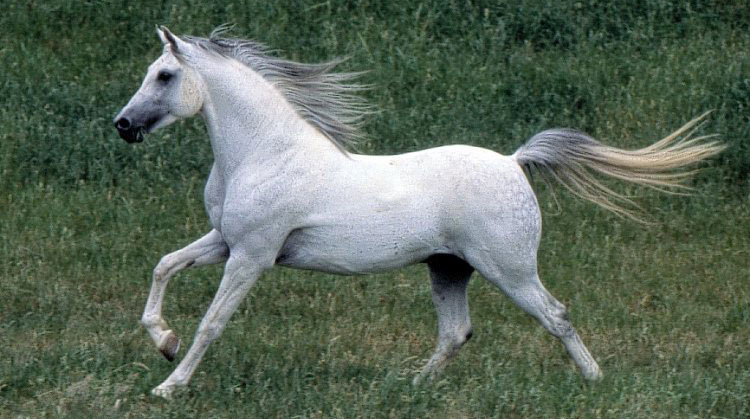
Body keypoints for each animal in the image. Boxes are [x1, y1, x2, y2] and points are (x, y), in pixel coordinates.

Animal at [113, 26, 724, 398]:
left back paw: (594, 380)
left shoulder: (252, 255)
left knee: (556, 314)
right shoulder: (225, 240)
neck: (264, 153)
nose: (123, 125)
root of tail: (515, 162)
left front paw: (170, 384)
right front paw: (163, 342)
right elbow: (164, 266)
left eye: (164, 75)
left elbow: (213, 322)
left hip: (508, 268)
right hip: (449, 267)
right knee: (457, 332)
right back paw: (410, 385)